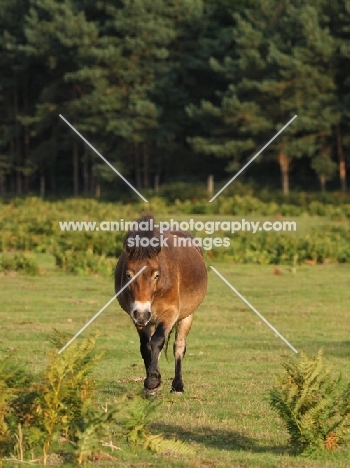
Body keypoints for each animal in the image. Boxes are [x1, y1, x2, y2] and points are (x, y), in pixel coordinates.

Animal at [115, 217, 208, 394]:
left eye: (156, 275)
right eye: (128, 275)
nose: (142, 313)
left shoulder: (170, 314)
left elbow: (158, 341)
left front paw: (152, 381)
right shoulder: (137, 318)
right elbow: (146, 347)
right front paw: (151, 384)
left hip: (186, 316)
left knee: (179, 346)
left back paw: (177, 386)